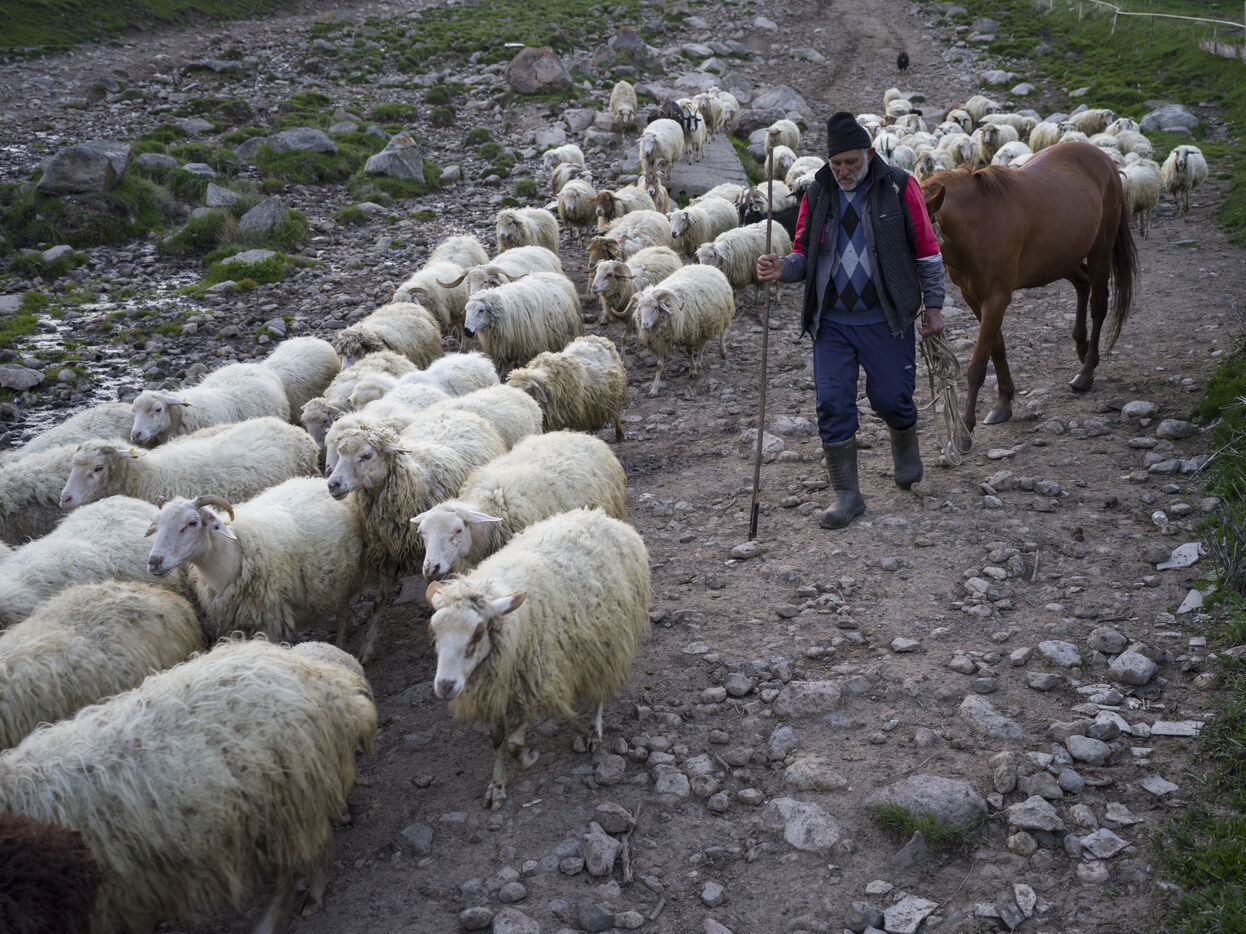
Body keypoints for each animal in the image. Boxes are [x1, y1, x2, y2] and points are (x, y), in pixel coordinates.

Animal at [147, 478, 364, 645]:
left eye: (192, 522)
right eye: (156, 525)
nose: (154, 561)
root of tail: (317, 481)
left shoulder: (271, 619)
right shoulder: (236, 621)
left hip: (346, 578)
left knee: (343, 611)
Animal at [327, 410, 507, 661]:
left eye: (366, 455)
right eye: (340, 453)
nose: (333, 485)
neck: (413, 483)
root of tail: (459, 411)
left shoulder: (438, 555)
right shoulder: (390, 549)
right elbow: (379, 600)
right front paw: (366, 647)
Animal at [425, 507, 649, 808]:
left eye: (478, 632)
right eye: (434, 631)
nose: (445, 686)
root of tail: (597, 515)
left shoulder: (536, 679)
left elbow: (513, 742)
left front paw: (527, 759)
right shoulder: (497, 687)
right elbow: (498, 739)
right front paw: (497, 785)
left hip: (607, 640)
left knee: (599, 687)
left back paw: (594, 730)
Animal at [633, 264, 735, 396]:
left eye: (655, 307)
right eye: (639, 308)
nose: (644, 325)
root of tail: (707, 266)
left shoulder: (689, 332)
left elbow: (690, 352)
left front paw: (693, 370)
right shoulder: (661, 340)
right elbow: (659, 365)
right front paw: (654, 389)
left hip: (723, 313)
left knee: (723, 331)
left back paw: (722, 351)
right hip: (704, 322)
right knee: (702, 343)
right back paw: (699, 361)